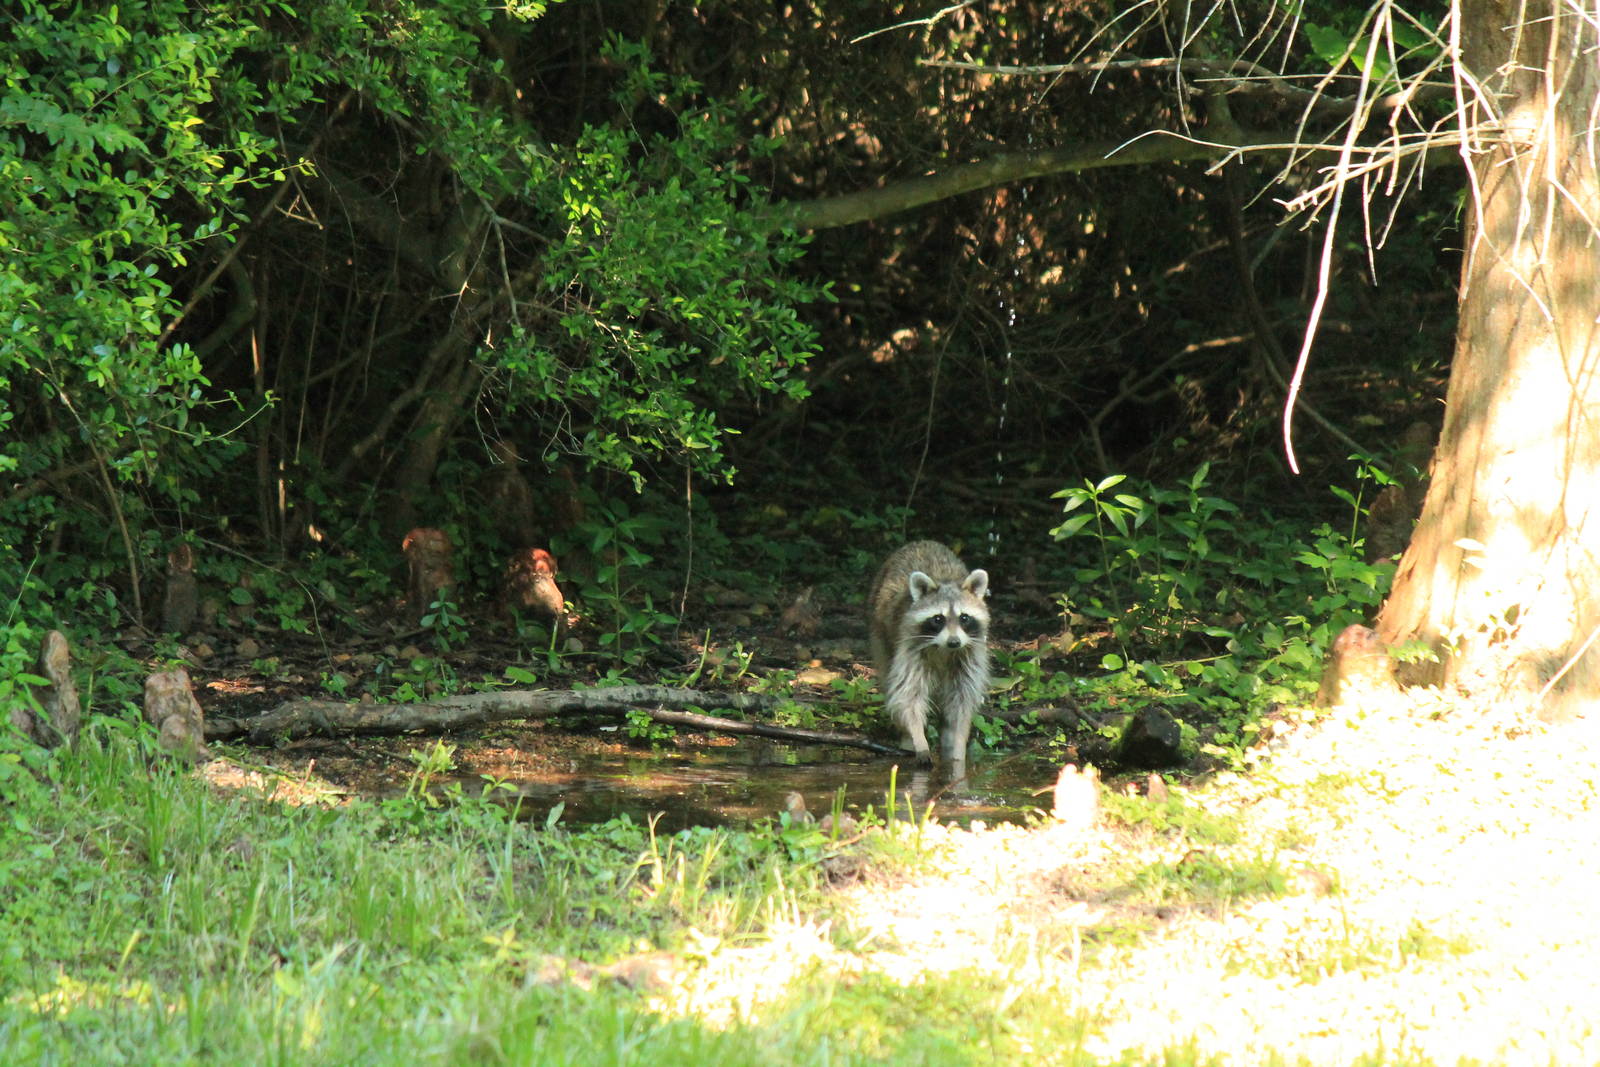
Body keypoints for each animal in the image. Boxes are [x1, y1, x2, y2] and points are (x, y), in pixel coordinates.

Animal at [867, 541, 991, 767]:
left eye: (964, 617)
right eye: (938, 619)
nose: (954, 642)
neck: (944, 649)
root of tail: (920, 542)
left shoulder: (969, 653)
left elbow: (962, 698)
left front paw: (958, 744)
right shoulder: (910, 647)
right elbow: (908, 696)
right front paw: (918, 738)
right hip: (878, 628)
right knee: (889, 675)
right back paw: (906, 736)